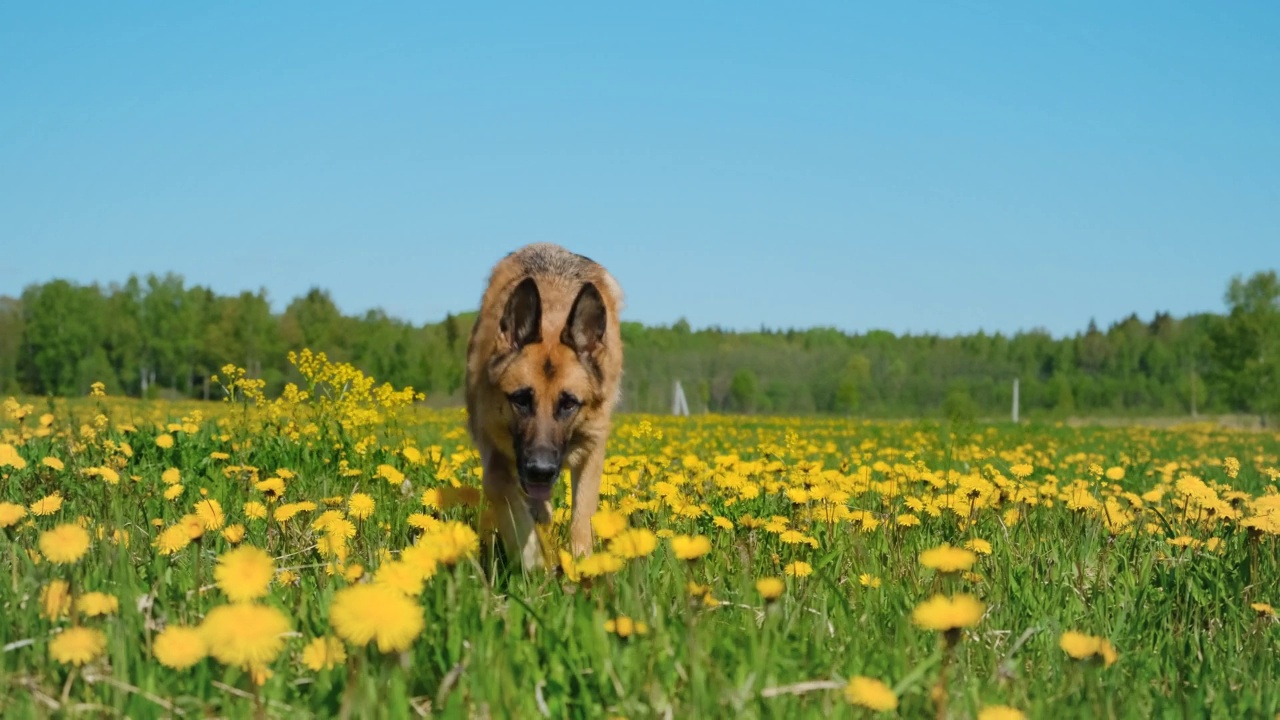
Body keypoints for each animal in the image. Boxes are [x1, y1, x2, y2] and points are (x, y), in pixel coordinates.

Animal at [465, 243, 624, 568]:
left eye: (569, 404)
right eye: (521, 400)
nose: (540, 470)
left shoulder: (592, 447)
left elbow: (583, 513)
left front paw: (582, 563)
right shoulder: (492, 446)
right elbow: (502, 491)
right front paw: (532, 559)